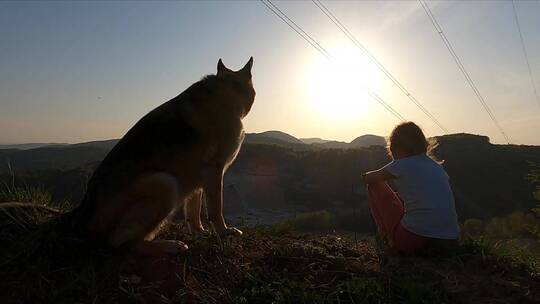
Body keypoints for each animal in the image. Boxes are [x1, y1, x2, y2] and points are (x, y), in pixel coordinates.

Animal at [69, 57, 255, 256]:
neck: (227, 90)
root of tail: (84, 217)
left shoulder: (199, 178)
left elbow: (193, 211)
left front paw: (199, 232)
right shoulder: (214, 170)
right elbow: (216, 209)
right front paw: (224, 232)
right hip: (166, 184)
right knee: (121, 242)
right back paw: (170, 245)